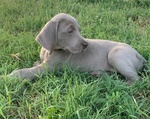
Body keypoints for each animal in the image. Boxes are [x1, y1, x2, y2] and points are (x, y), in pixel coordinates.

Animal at [6, 12, 146, 82]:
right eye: (70, 31)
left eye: (79, 30)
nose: (86, 45)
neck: (49, 51)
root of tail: (139, 55)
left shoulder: (48, 69)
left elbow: (25, 71)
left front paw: (10, 77)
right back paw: (99, 74)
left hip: (115, 54)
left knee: (134, 79)